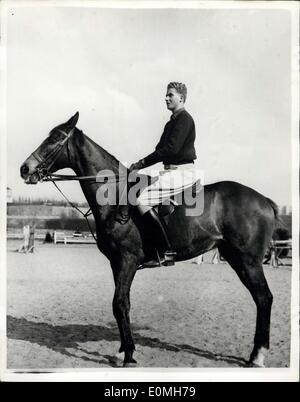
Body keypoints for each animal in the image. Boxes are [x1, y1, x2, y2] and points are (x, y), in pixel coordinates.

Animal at [19, 113, 278, 368]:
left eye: (55, 138)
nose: (25, 168)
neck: (114, 196)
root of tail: (264, 199)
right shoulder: (116, 263)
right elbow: (123, 304)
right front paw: (122, 351)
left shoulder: (127, 260)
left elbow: (119, 303)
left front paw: (129, 355)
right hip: (236, 258)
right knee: (260, 298)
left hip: (248, 261)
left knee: (264, 298)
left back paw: (258, 355)